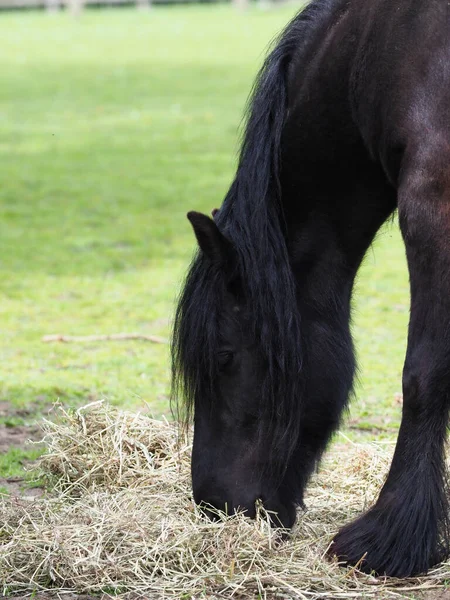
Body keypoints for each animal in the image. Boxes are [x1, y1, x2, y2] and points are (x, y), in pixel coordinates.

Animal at [171, 0, 450, 580]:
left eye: (225, 357)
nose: (213, 505)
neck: (384, 48)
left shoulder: (433, 203)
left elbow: (424, 373)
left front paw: (389, 538)